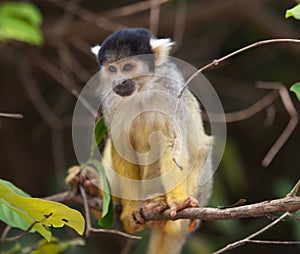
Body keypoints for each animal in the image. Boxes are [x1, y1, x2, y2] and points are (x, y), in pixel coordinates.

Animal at [82, 28, 212, 254]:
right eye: (112, 69)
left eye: (127, 67)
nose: (119, 82)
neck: (142, 89)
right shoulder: (111, 100)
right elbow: (122, 148)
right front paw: (130, 211)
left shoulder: (170, 91)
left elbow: (172, 144)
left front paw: (178, 202)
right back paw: (95, 192)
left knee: (199, 150)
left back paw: (164, 210)